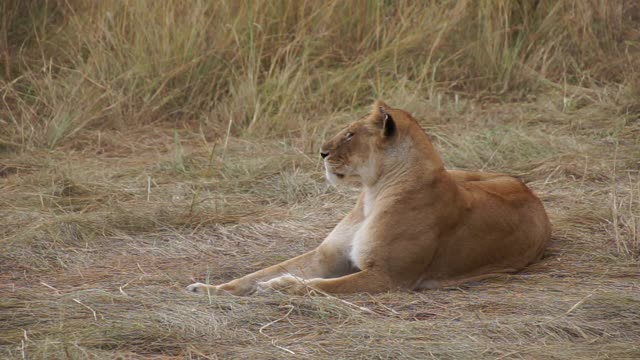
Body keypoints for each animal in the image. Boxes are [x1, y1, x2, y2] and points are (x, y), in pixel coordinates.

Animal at [186, 99, 552, 296]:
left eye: (350, 134)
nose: (321, 153)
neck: (371, 194)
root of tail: (528, 188)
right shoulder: (328, 255)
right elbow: (258, 273)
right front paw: (209, 289)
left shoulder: (388, 277)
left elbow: (317, 286)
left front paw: (281, 287)